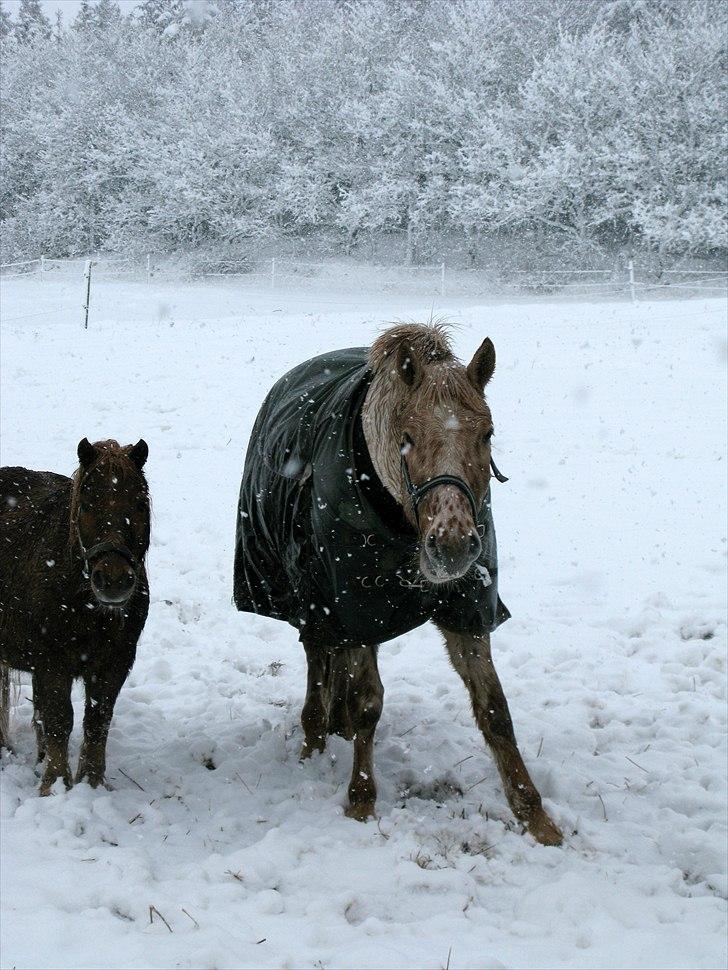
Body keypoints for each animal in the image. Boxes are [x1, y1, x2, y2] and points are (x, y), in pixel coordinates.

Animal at [0, 438, 151, 796]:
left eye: (140, 504)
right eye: (85, 505)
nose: (113, 579)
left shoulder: (115, 663)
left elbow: (97, 720)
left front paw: (92, 783)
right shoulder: (52, 662)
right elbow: (60, 720)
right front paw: (55, 786)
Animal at [233, 324, 564, 840]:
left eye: (488, 433)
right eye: (406, 438)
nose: (452, 546)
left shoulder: (466, 610)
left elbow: (495, 710)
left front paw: (535, 818)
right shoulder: (352, 607)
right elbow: (369, 702)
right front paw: (361, 802)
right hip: (314, 603)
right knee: (318, 657)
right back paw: (314, 740)